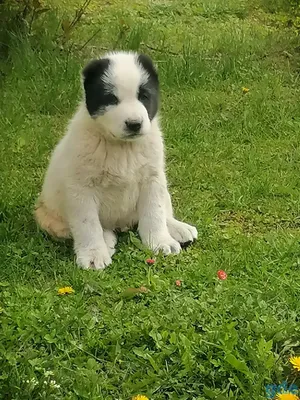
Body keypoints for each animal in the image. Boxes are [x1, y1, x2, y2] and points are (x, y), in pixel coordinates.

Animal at [35, 50, 198, 268]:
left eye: (143, 96)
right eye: (111, 99)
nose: (134, 124)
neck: (122, 147)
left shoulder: (152, 178)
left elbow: (154, 212)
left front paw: (160, 242)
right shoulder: (81, 188)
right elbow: (88, 225)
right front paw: (93, 255)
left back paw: (178, 228)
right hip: (50, 217)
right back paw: (107, 240)